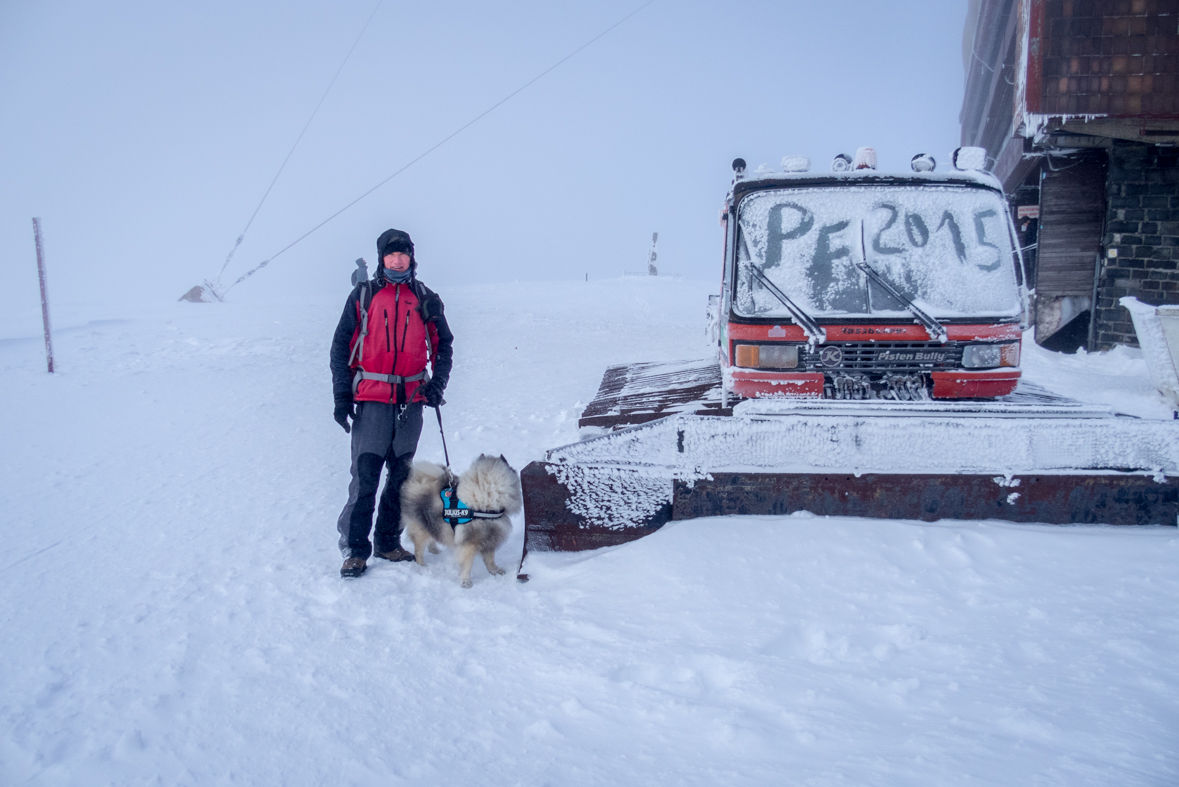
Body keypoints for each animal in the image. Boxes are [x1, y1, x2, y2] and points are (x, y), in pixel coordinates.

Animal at [400, 452, 521, 586]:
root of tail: (418, 479)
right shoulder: (469, 543)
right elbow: (467, 564)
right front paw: (465, 582)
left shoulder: (489, 536)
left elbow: (490, 559)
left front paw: (495, 570)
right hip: (421, 527)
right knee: (419, 549)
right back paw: (422, 565)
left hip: (433, 523)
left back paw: (434, 550)